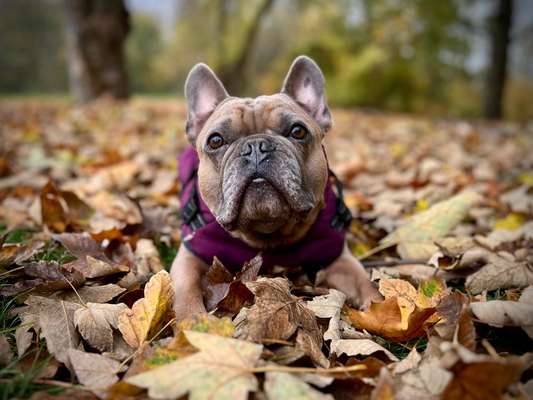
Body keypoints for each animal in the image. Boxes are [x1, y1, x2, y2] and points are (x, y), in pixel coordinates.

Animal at [168, 55, 380, 322]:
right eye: (215, 140)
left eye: (298, 131)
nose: (256, 146)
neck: (268, 234)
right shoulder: (188, 258)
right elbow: (185, 290)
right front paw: (193, 323)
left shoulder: (340, 260)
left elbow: (364, 283)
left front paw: (381, 309)